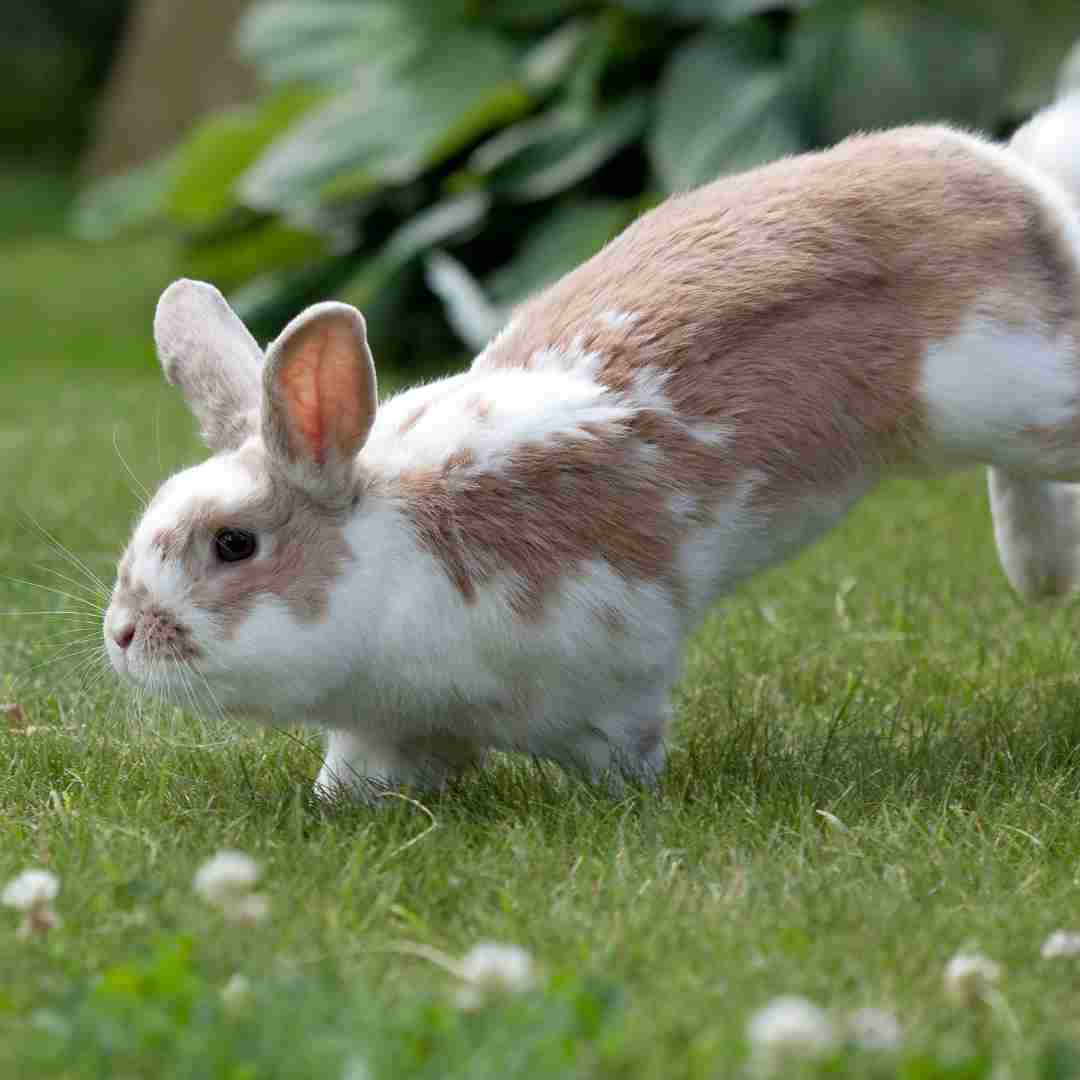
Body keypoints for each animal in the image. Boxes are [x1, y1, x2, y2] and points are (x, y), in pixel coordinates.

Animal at [104, 94, 1080, 801]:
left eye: (235, 544)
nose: (122, 634)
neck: (394, 553)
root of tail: (1010, 176)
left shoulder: (614, 673)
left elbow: (623, 756)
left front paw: (623, 807)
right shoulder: (387, 730)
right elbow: (363, 776)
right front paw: (336, 806)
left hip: (1013, 387)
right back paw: (1039, 570)